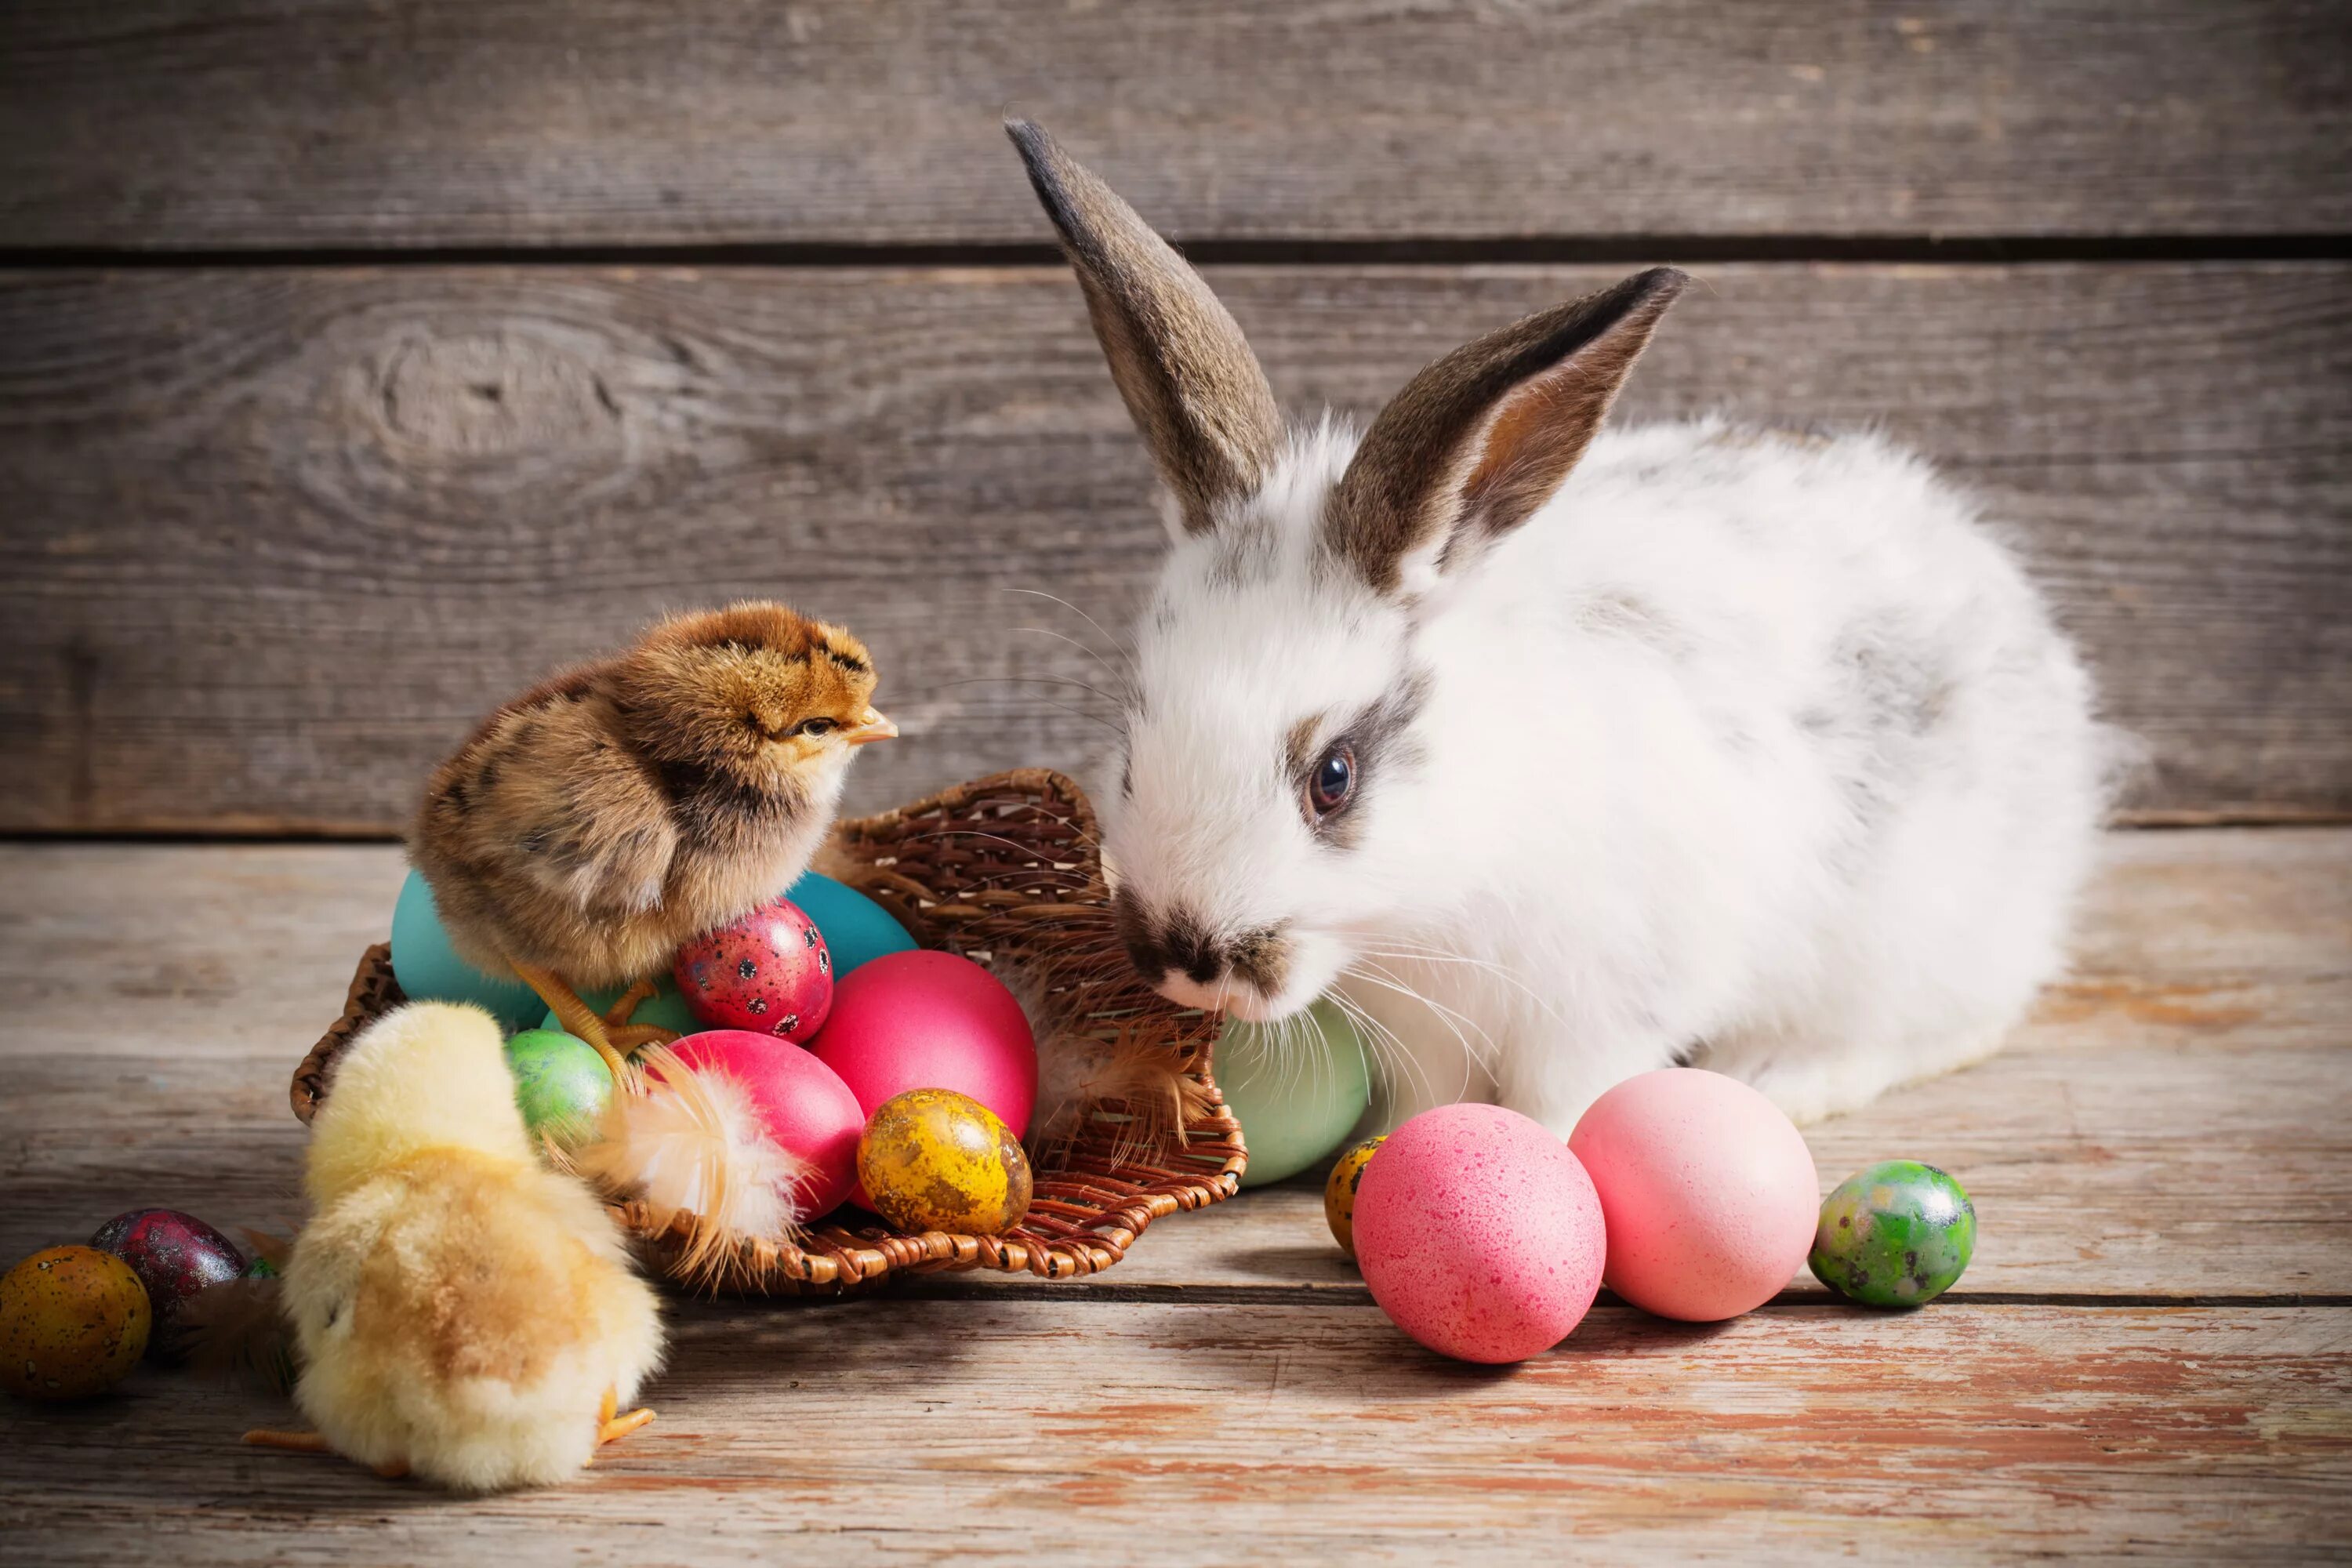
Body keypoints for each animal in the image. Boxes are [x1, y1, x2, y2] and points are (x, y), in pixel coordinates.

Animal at [1002, 119, 2107, 1128]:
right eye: (1133, 749)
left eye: (1334, 778)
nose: (1185, 959)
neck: (1433, 895)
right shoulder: (1427, 1031)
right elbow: (1434, 1102)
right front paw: (1400, 1153)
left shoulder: (1603, 1005)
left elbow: (1561, 1106)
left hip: (1918, 941)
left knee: (1957, 1020)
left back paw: (1778, 1078)